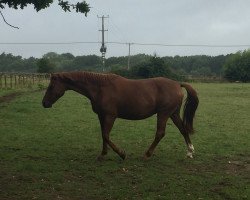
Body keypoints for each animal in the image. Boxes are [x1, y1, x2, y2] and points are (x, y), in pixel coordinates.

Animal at [42, 71, 199, 160]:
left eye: (51, 86)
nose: (44, 103)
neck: (100, 88)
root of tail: (177, 84)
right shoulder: (101, 116)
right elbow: (103, 134)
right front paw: (103, 154)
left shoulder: (110, 116)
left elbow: (106, 135)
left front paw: (122, 154)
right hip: (173, 113)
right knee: (183, 130)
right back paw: (190, 152)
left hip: (163, 113)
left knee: (160, 133)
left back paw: (147, 154)